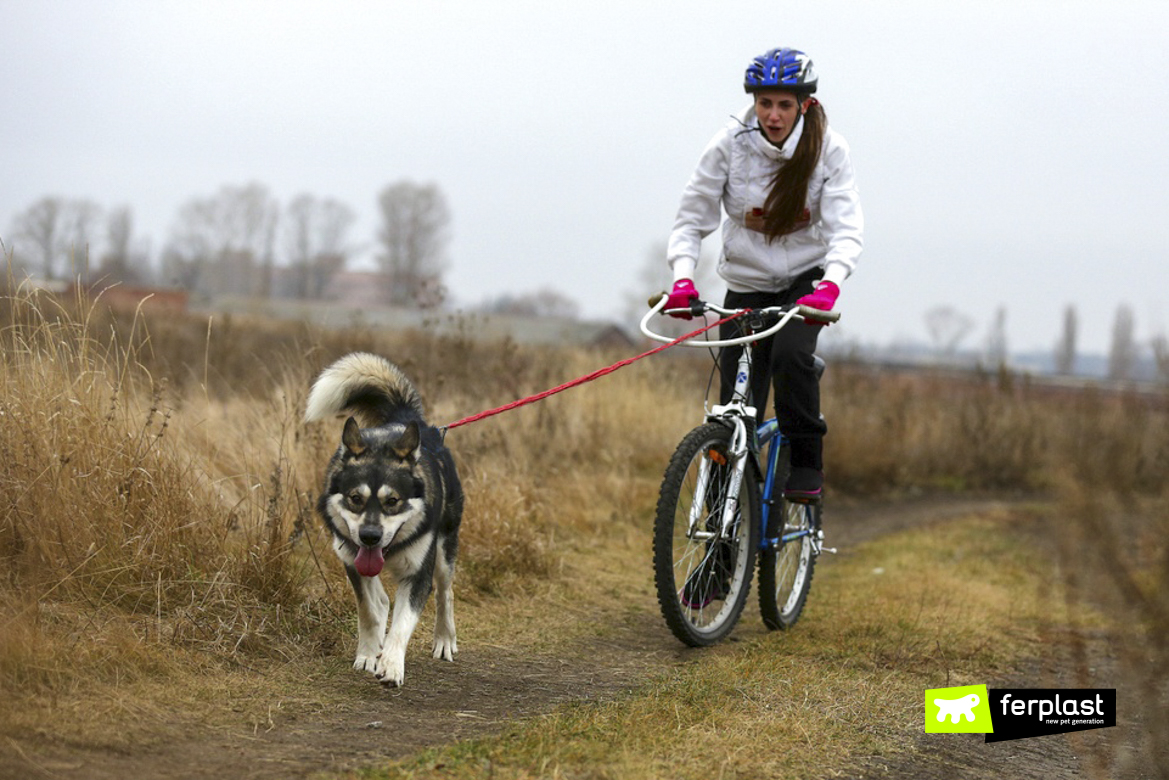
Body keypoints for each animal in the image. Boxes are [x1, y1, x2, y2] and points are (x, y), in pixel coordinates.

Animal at [303, 353, 462, 687]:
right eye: (355, 498)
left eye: (393, 501)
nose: (370, 536)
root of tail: (410, 421)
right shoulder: (352, 559)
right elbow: (368, 611)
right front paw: (367, 653)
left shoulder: (418, 574)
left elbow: (401, 625)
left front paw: (390, 664)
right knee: (380, 601)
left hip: (444, 549)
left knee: (445, 593)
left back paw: (444, 639)